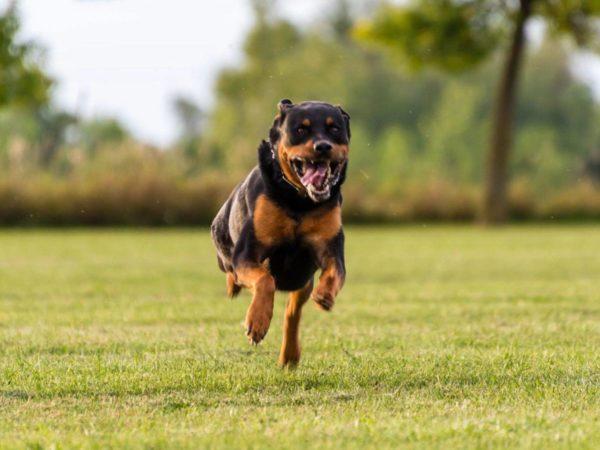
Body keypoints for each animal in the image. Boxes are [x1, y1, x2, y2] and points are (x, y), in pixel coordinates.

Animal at [212, 98, 350, 366]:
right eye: (301, 129)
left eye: (335, 128)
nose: (323, 146)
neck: (300, 201)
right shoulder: (248, 252)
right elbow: (264, 279)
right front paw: (257, 322)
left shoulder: (330, 245)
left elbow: (336, 271)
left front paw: (325, 294)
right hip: (222, 242)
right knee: (234, 272)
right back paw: (234, 287)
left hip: (302, 279)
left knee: (292, 312)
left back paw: (289, 354)